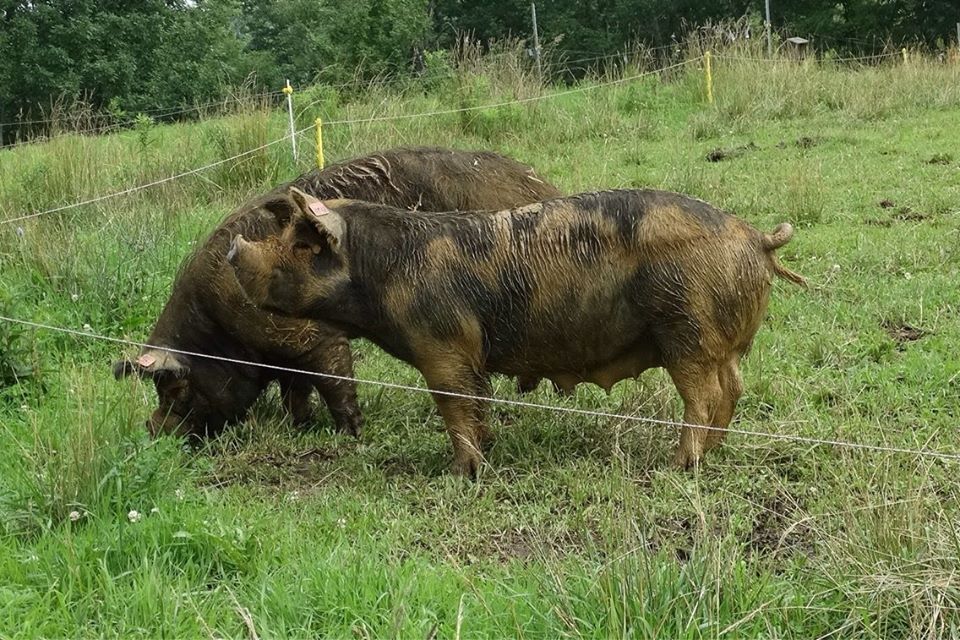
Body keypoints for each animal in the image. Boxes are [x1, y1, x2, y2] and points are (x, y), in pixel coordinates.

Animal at [112, 147, 564, 440]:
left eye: (174, 389)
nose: (152, 429)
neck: (220, 325)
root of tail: (543, 185)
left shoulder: (313, 338)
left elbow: (333, 382)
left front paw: (351, 434)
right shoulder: (285, 351)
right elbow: (295, 388)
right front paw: (299, 426)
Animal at [229, 185, 808, 476]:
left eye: (302, 245)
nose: (234, 249)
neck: (385, 272)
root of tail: (756, 238)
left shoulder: (442, 344)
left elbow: (454, 404)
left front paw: (461, 472)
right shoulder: (467, 353)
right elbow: (477, 401)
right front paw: (484, 449)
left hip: (684, 325)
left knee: (703, 396)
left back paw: (681, 465)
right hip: (719, 339)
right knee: (733, 388)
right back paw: (714, 452)